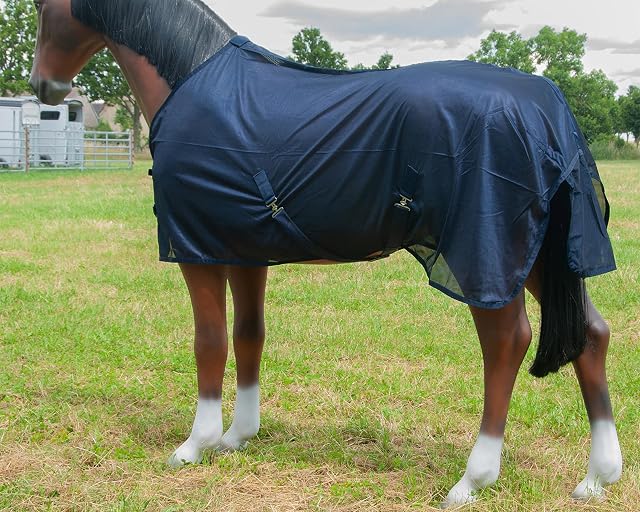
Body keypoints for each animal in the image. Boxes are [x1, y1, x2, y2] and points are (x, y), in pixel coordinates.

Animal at [30, 0, 623, 506]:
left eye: (42, 7)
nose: (44, 87)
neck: (194, 78)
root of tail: (547, 109)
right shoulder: (245, 251)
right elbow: (249, 336)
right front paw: (238, 435)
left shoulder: (197, 252)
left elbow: (210, 342)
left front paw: (195, 445)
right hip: (541, 258)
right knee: (592, 334)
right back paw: (597, 477)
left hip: (486, 261)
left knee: (507, 344)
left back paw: (473, 479)